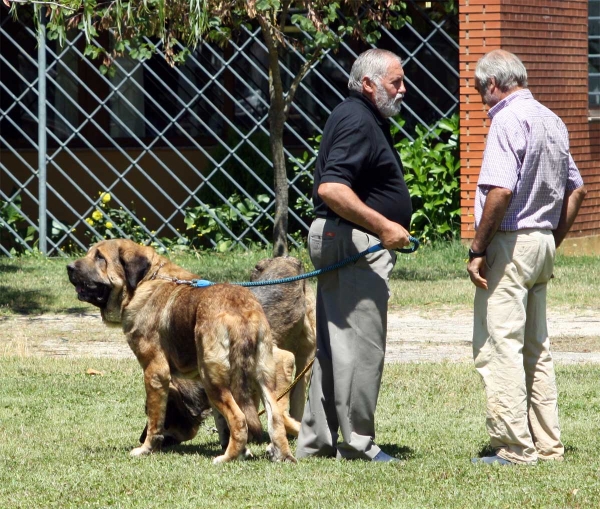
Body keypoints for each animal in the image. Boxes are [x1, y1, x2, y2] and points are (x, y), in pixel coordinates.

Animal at [66, 238, 296, 464]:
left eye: (100, 257)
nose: (69, 267)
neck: (144, 281)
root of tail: (238, 309)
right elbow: (221, 422)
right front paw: (240, 449)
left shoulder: (155, 372)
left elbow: (155, 420)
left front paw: (146, 449)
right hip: (261, 374)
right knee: (275, 416)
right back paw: (281, 456)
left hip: (213, 378)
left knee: (239, 419)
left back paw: (227, 458)